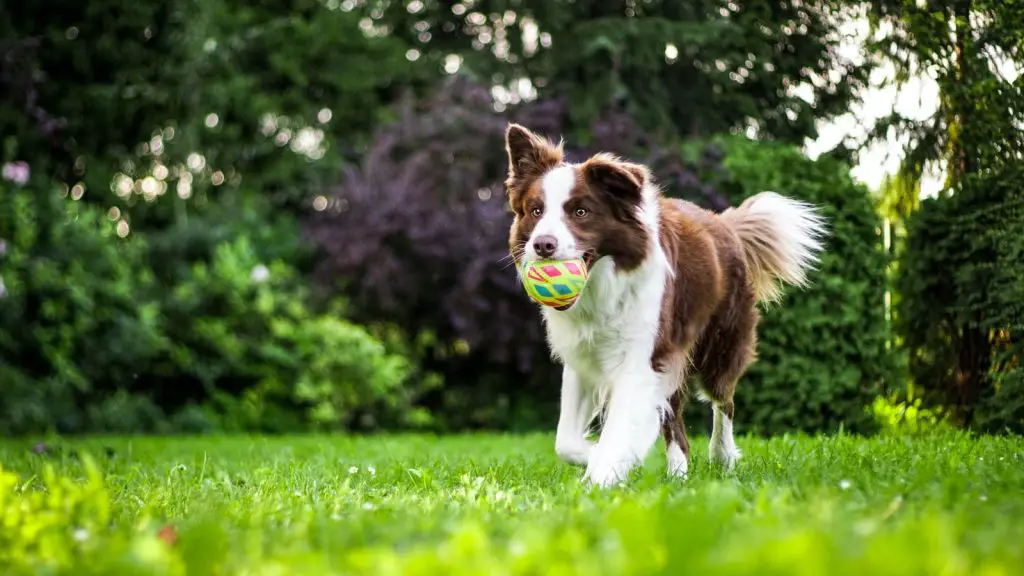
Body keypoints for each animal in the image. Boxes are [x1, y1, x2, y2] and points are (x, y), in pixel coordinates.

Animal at [503, 124, 831, 483]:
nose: (542, 245)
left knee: (724, 401)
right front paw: (602, 458)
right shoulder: (584, 357)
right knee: (676, 424)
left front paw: (603, 474)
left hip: (719, 345)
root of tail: (725, 224)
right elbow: (565, 441)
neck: (602, 287)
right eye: (536, 211)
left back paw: (722, 456)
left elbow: (619, 428)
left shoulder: (643, 357)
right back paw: (678, 475)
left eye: (580, 212)